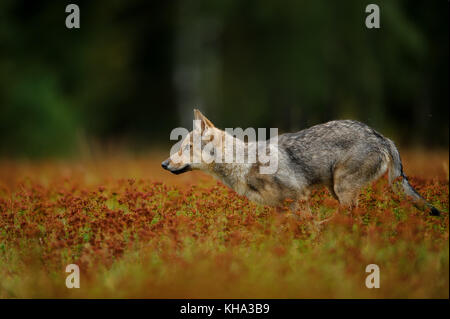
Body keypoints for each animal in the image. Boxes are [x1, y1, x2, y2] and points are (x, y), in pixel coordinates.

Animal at [161, 109, 440, 218]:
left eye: (187, 148)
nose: (163, 164)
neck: (243, 163)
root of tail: (381, 136)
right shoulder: (280, 208)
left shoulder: (299, 198)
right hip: (337, 191)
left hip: (342, 190)